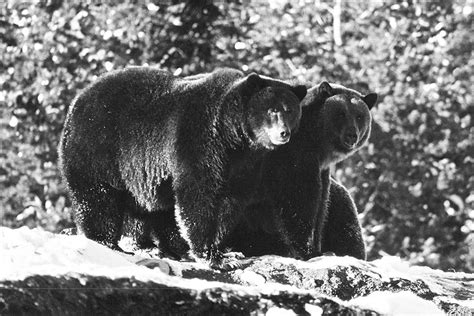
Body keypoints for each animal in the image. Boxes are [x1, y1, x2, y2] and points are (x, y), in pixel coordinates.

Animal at [58, 66, 308, 270]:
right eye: (272, 110)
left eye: (290, 110)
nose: (283, 133)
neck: (232, 135)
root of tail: (79, 99)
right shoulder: (199, 138)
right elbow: (198, 191)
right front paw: (214, 257)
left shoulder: (244, 164)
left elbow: (231, 201)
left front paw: (227, 251)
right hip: (100, 147)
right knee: (97, 197)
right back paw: (107, 242)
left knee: (154, 208)